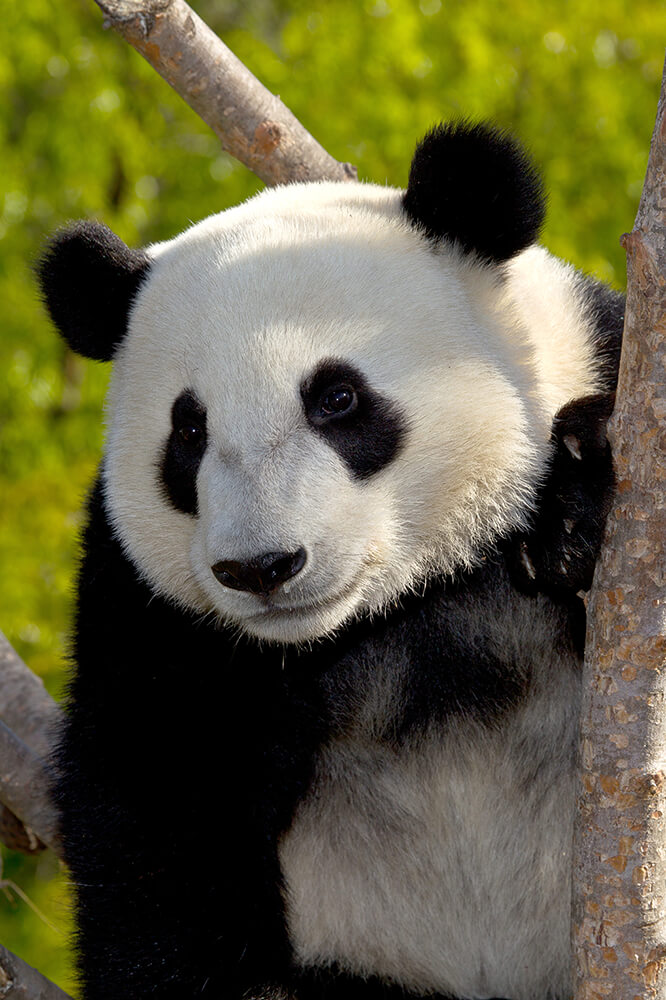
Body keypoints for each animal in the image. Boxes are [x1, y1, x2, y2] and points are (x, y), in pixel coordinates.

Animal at [37, 121, 624, 996]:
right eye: (189, 431)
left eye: (337, 398)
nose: (261, 568)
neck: (408, 602)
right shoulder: (147, 605)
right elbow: (152, 807)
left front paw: (579, 503)